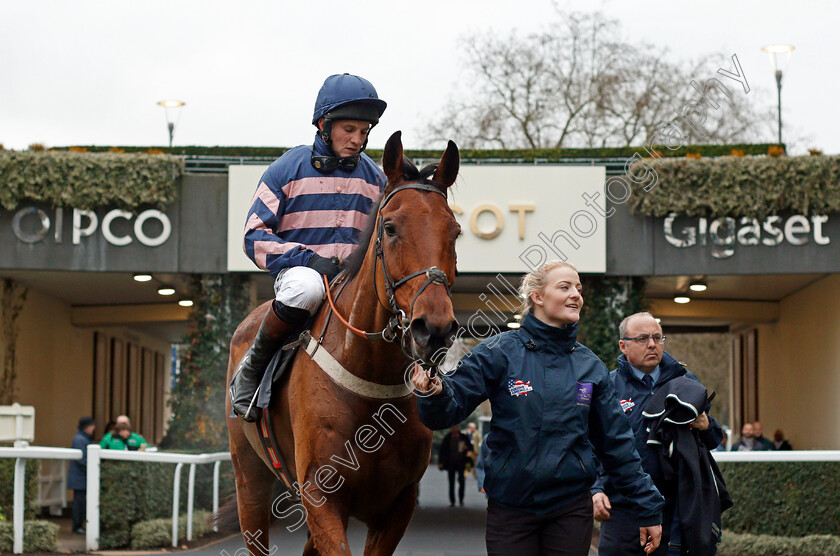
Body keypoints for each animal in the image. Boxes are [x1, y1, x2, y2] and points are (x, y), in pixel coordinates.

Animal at [225, 131, 460, 556]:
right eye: (390, 227)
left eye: (455, 231)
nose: (433, 328)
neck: (370, 375)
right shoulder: (320, 496)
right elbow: (258, 231)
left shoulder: (398, 505)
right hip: (248, 479)